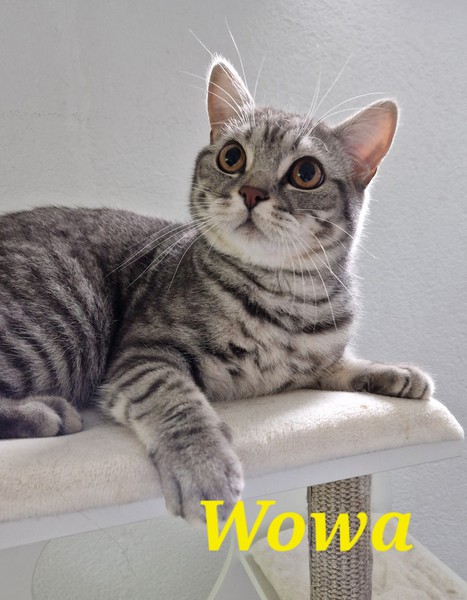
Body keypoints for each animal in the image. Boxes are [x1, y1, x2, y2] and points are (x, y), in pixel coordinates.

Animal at [0, 57, 433, 522]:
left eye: (306, 173)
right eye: (232, 157)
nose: (252, 191)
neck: (286, 301)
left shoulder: (316, 361)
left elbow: (340, 364)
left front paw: (395, 372)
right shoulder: (143, 353)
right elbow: (174, 398)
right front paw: (202, 464)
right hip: (66, 317)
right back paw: (47, 412)